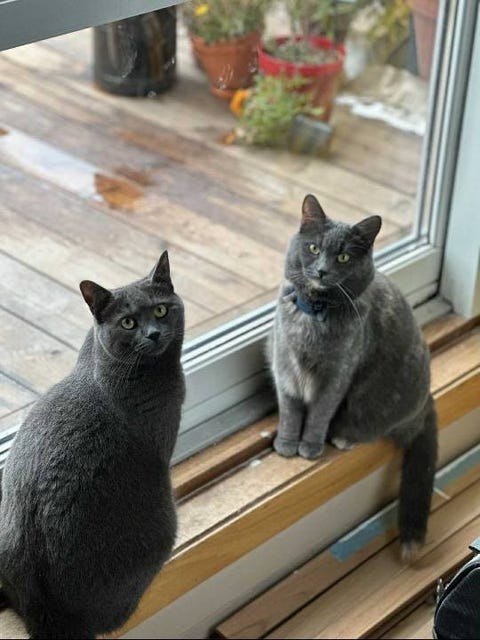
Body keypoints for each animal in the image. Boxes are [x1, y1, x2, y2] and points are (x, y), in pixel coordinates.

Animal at [267, 194, 437, 563]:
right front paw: (286, 444)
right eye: (314, 247)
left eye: (343, 256)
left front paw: (309, 447)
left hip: (379, 399)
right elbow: (290, 410)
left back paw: (344, 436)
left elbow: (318, 414)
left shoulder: (337, 375)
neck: (314, 314)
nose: (321, 270)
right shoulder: (284, 366)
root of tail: (427, 402)